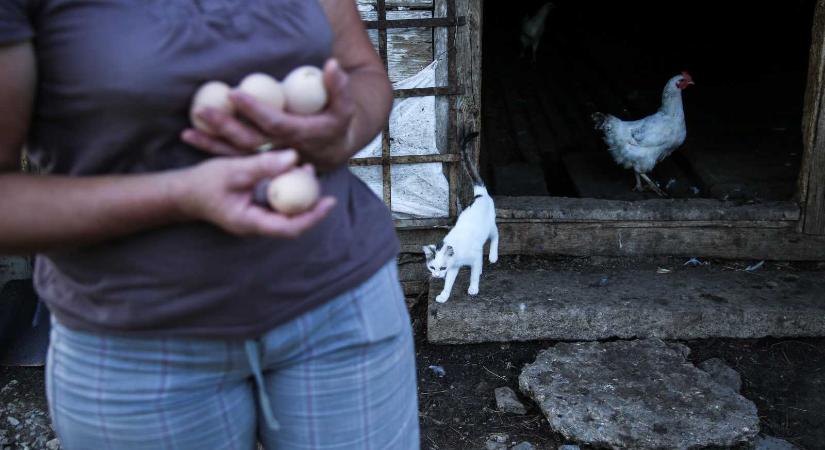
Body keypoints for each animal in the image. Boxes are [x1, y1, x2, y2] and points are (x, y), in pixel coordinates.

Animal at [422, 132, 498, 304]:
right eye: (432, 267)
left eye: (441, 268)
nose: (436, 276)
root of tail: (480, 194)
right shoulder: (454, 266)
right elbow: (449, 282)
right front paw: (444, 295)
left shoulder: (472, 257)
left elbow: (473, 274)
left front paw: (473, 288)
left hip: (491, 226)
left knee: (496, 236)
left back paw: (493, 256)